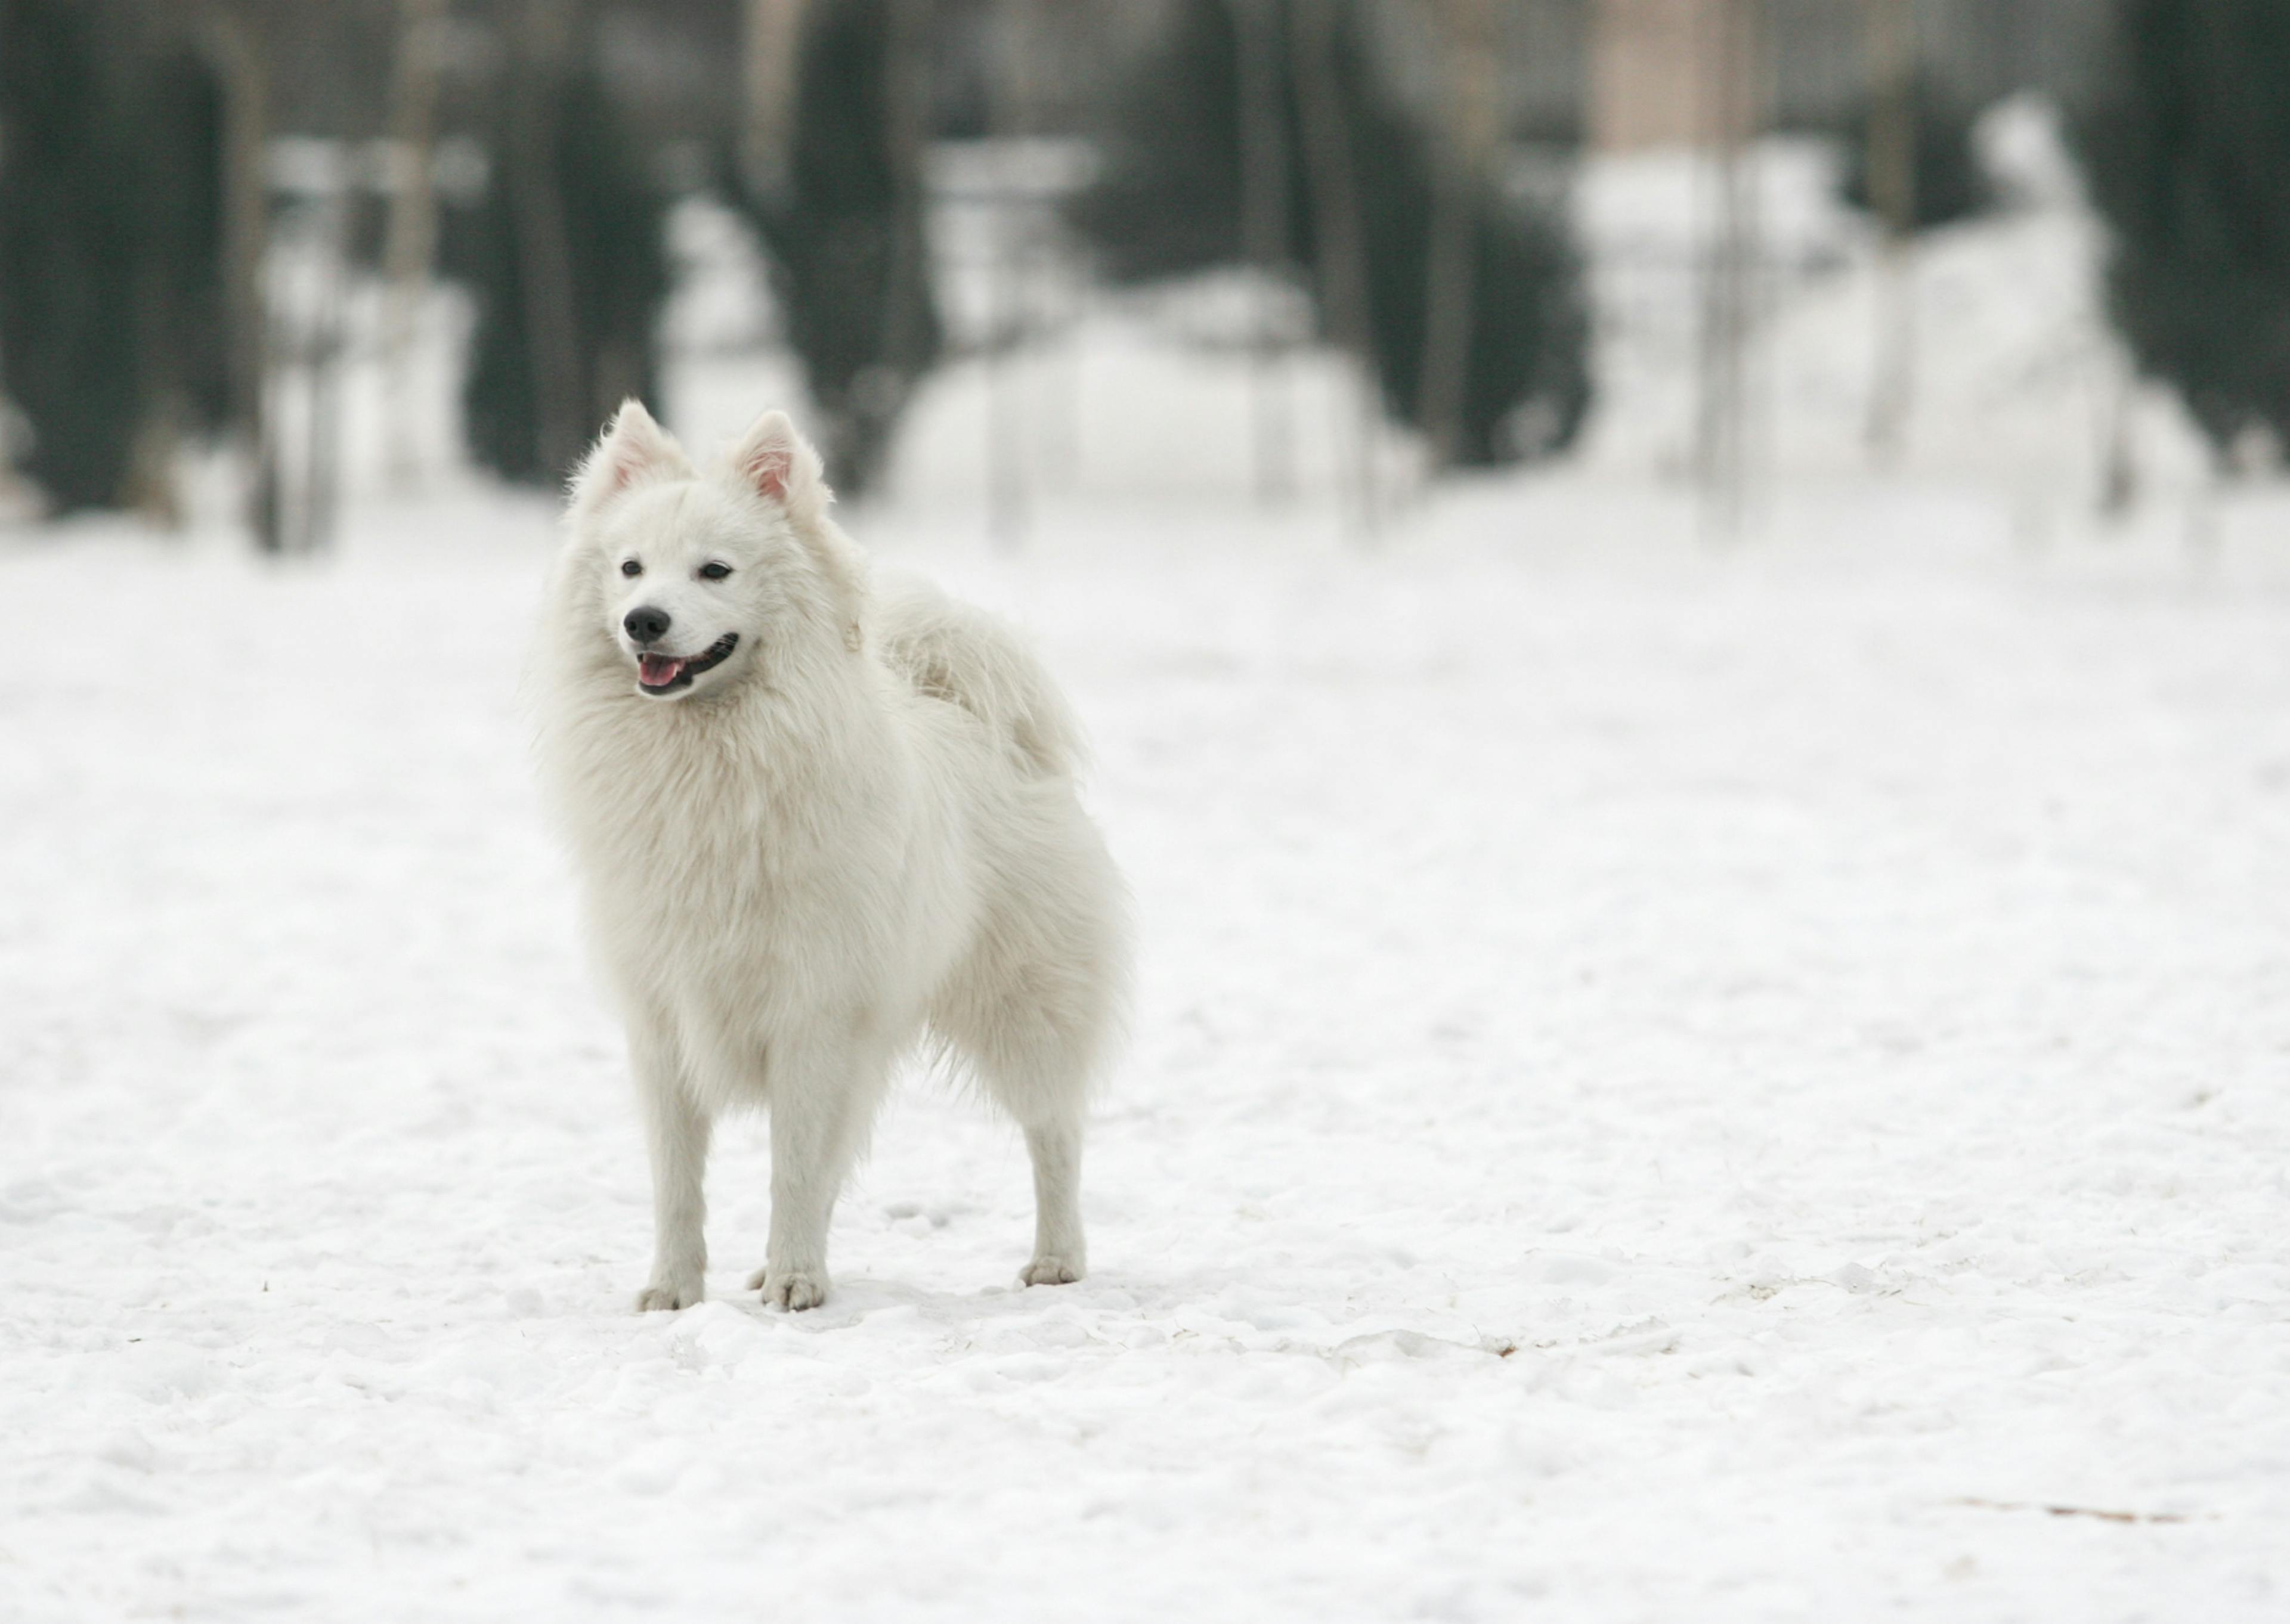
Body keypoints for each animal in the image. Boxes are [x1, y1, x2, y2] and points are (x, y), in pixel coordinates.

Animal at [522, 403, 1127, 1301]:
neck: (711, 758)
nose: (643, 622)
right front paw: (678, 1291)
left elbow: (794, 1168)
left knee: (1054, 1134)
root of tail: (984, 722)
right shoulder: (663, 1021)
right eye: (630, 570)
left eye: (714, 571)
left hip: (1028, 1006)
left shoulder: (813, 1012)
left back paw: (1057, 1260)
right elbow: (679, 1180)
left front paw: (796, 1285)